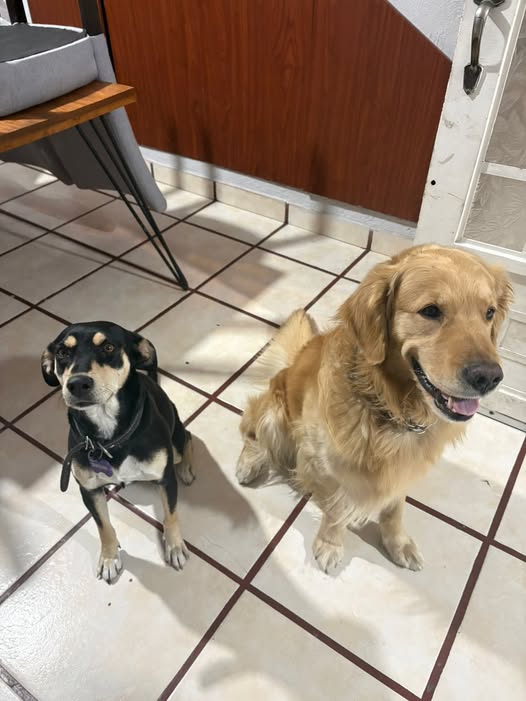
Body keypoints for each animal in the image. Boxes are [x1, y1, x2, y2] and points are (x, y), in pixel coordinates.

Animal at [41, 321, 194, 583]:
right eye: (62, 352)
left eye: (108, 347)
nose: (77, 384)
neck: (109, 438)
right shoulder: (89, 489)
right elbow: (103, 526)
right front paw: (109, 558)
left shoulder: (165, 479)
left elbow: (171, 515)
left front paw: (174, 547)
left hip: (176, 443)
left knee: (189, 440)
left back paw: (185, 469)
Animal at [236, 244, 512, 573]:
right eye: (431, 311)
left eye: (489, 313)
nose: (489, 378)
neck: (391, 408)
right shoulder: (324, 462)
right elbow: (337, 511)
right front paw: (330, 544)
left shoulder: (402, 470)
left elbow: (394, 509)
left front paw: (398, 543)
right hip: (274, 415)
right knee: (251, 429)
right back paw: (248, 464)